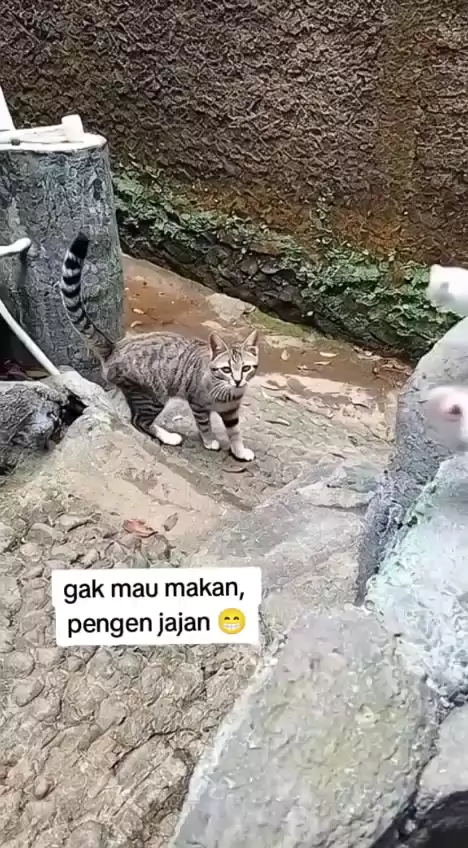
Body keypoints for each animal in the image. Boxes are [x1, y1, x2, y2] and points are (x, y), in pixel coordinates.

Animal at [60, 232, 258, 461]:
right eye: (226, 369)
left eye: (246, 368)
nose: (238, 380)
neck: (227, 391)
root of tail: (115, 346)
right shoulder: (198, 403)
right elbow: (205, 425)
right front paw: (210, 442)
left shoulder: (231, 411)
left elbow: (235, 432)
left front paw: (239, 451)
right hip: (152, 395)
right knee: (139, 421)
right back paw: (168, 436)